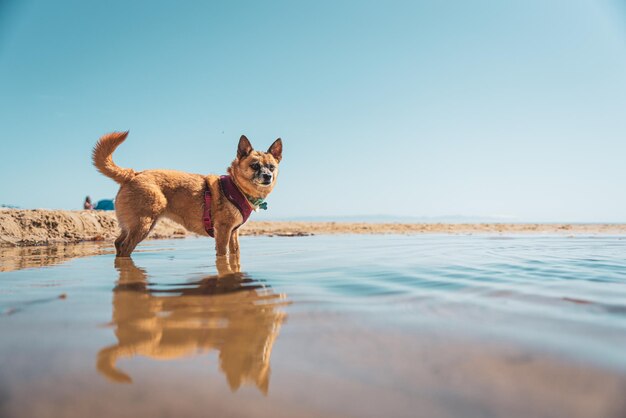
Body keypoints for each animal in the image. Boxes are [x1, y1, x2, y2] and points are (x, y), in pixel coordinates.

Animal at [91, 133, 282, 258]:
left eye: (271, 167)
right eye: (255, 166)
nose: (268, 176)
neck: (237, 187)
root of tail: (133, 174)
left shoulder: (233, 233)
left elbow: (236, 254)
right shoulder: (223, 232)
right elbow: (223, 255)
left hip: (131, 225)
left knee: (117, 243)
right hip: (143, 224)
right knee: (125, 247)